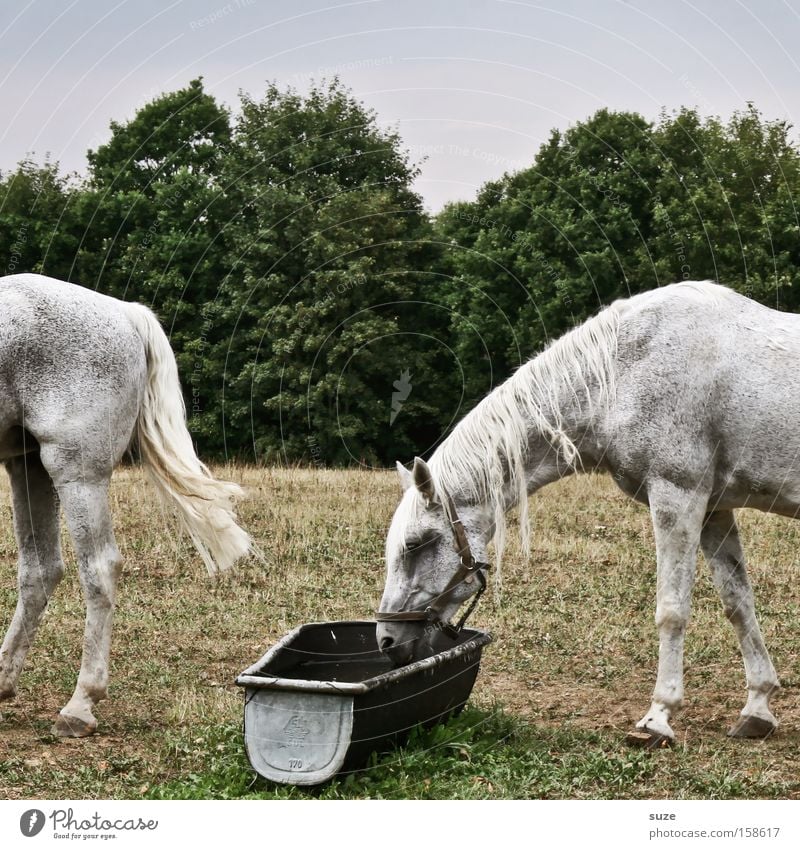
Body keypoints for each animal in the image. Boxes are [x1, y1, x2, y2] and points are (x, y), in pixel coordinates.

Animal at [0, 274, 252, 736]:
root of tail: (124, 313)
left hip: (76, 473)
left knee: (98, 568)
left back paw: (80, 706)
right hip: (29, 467)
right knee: (40, 570)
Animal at [380, 280, 788, 744]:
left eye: (418, 544)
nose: (386, 640)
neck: (620, 372)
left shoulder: (677, 497)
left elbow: (672, 610)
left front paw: (658, 716)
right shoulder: (713, 510)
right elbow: (738, 603)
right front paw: (758, 707)